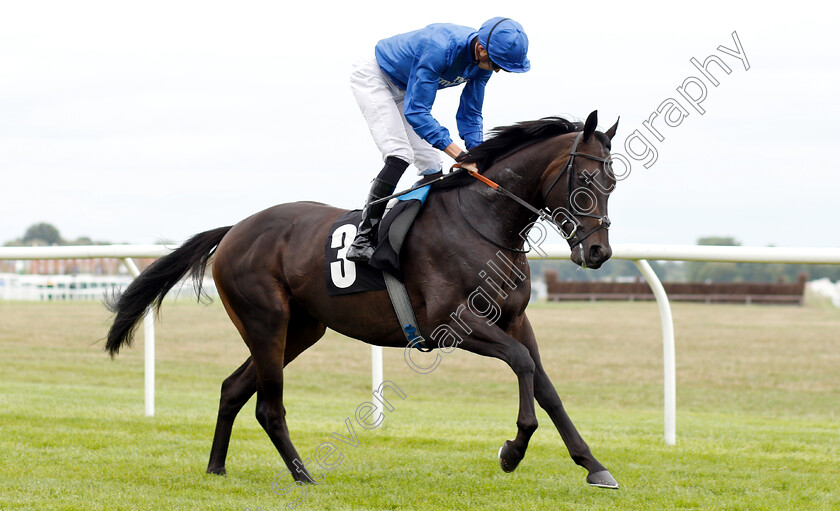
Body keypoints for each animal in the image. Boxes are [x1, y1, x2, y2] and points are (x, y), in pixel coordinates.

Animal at [105, 112, 620, 492]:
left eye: (612, 183)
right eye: (585, 179)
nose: (599, 252)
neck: (483, 221)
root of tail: (234, 229)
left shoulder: (514, 319)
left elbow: (545, 386)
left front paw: (593, 465)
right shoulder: (450, 324)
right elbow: (522, 364)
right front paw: (511, 451)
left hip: (301, 330)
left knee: (233, 388)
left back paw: (217, 467)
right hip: (266, 321)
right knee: (268, 407)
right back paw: (304, 476)